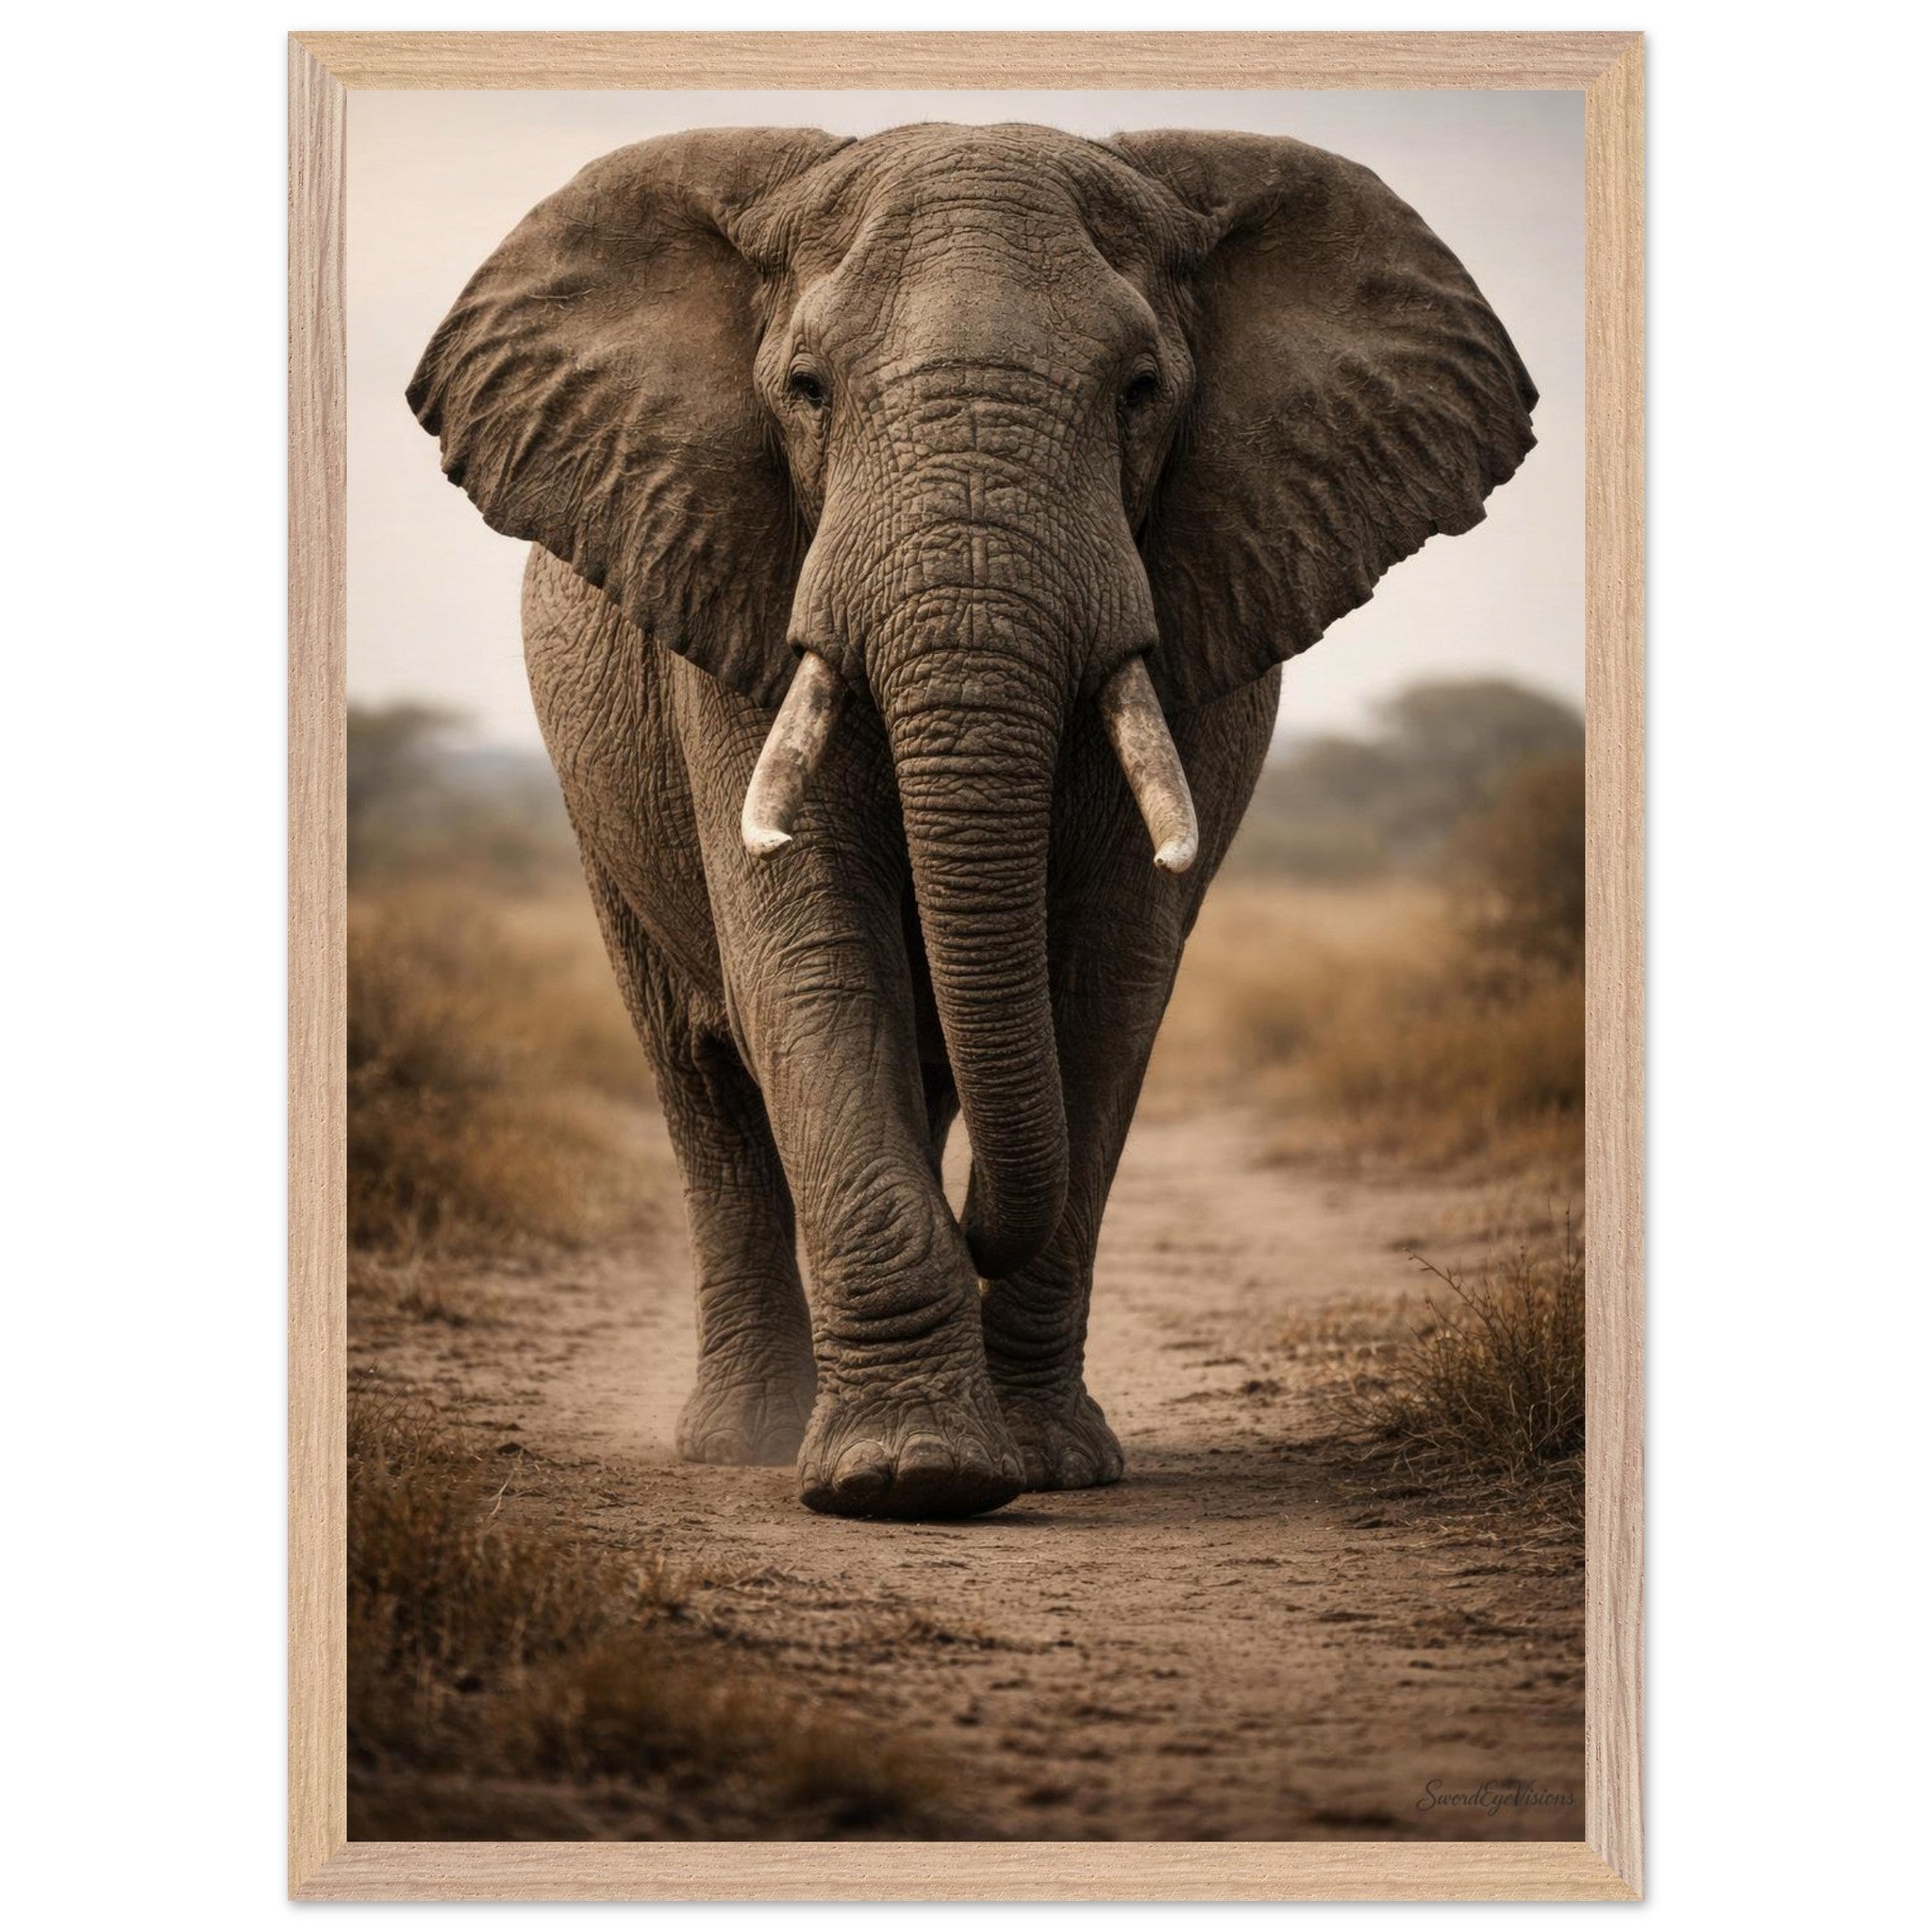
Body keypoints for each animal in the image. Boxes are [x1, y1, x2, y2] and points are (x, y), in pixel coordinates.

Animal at [409, 122, 1535, 1521]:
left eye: (1140, 390)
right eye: (807, 388)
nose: (976, 1223)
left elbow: (1108, 985)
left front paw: (1044, 1464)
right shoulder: (737, 599)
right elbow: (809, 958)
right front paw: (910, 1478)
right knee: (702, 1080)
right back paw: (744, 1442)